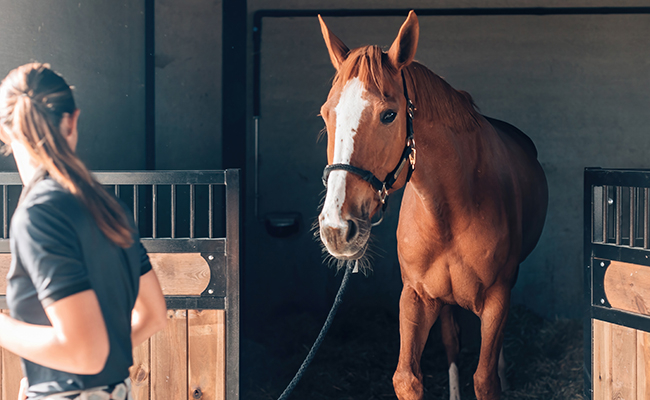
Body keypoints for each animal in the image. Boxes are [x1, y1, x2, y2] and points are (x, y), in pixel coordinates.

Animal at [316, 11, 548, 400]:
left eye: (389, 115)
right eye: (325, 114)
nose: (336, 228)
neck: (450, 211)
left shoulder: (497, 298)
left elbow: (485, 379)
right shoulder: (416, 297)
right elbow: (407, 377)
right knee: (452, 340)